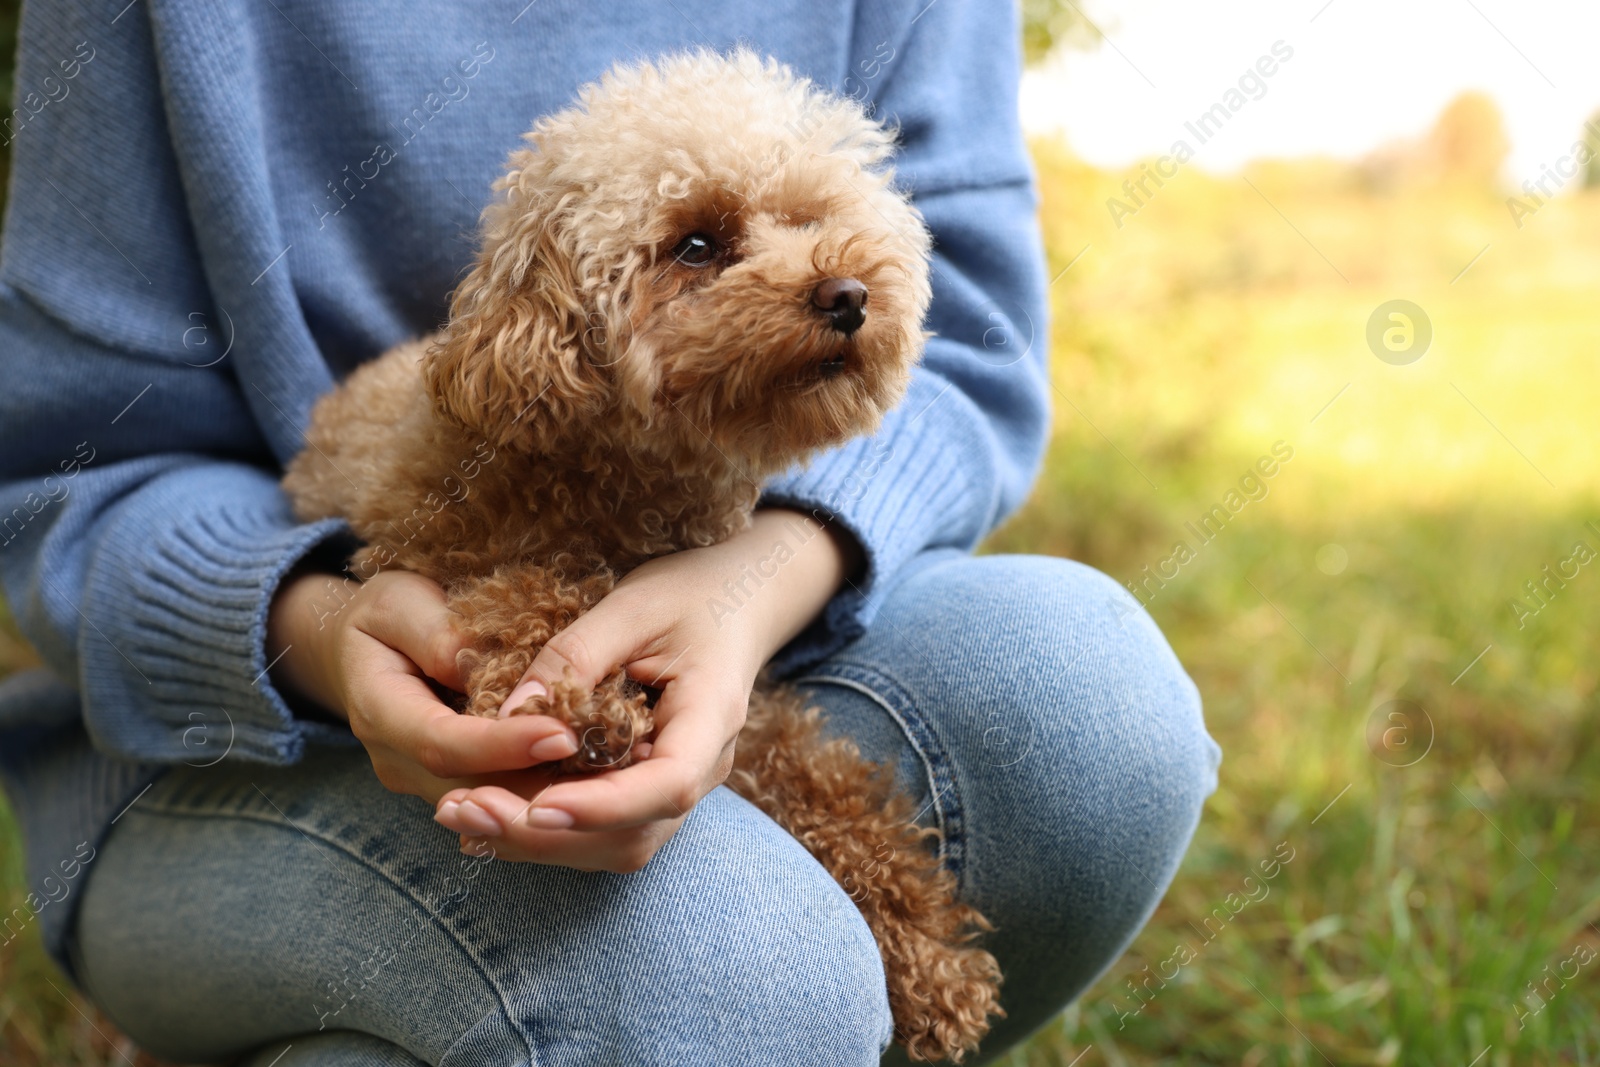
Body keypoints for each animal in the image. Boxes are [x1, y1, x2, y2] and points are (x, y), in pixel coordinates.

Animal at [276, 47, 998, 1062]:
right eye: (696, 244)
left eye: (809, 220)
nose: (849, 295)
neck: (609, 477)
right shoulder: (436, 550)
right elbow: (524, 598)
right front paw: (585, 706)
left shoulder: (754, 705)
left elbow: (823, 784)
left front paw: (930, 956)